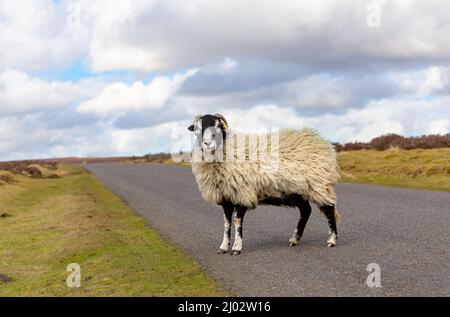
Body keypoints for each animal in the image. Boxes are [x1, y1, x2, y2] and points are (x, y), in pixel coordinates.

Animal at [187, 113, 342, 254]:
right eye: (196, 129)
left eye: (218, 126)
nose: (207, 144)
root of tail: (323, 143)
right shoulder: (226, 197)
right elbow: (226, 223)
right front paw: (224, 247)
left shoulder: (243, 194)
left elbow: (237, 222)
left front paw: (237, 247)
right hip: (296, 191)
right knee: (306, 210)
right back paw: (294, 239)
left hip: (320, 184)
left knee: (329, 210)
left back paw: (332, 240)